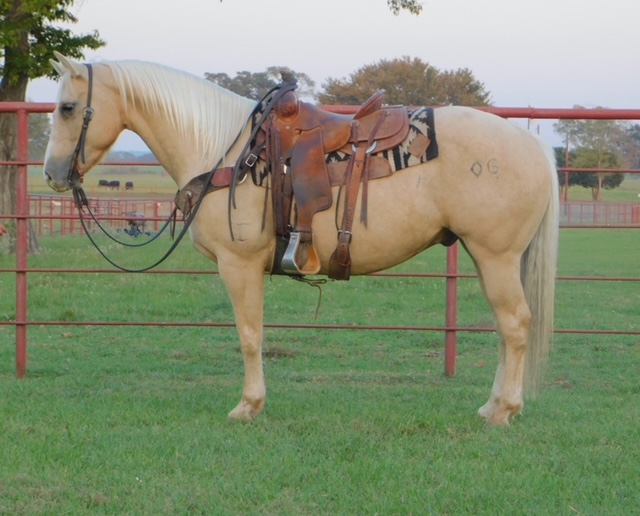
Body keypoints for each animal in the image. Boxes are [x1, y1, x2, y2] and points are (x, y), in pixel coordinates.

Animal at [45, 52, 556, 426]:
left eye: (67, 107)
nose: (52, 174)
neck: (225, 152)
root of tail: (532, 144)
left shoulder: (239, 265)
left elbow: (250, 335)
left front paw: (248, 406)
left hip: (496, 256)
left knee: (515, 326)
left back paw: (504, 412)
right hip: (487, 257)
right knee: (505, 329)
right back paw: (492, 405)